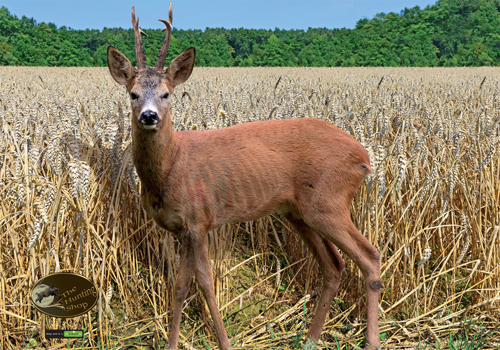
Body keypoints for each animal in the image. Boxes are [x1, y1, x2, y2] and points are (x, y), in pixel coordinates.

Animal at [107, 3, 382, 350]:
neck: (170, 169)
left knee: (369, 256)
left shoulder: (197, 219)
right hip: (299, 213)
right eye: (132, 94)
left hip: (328, 202)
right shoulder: (185, 229)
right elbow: (189, 285)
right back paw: (310, 338)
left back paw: (371, 341)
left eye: (167, 94)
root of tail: (364, 157)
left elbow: (197, 286)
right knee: (334, 265)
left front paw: (211, 342)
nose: (149, 116)